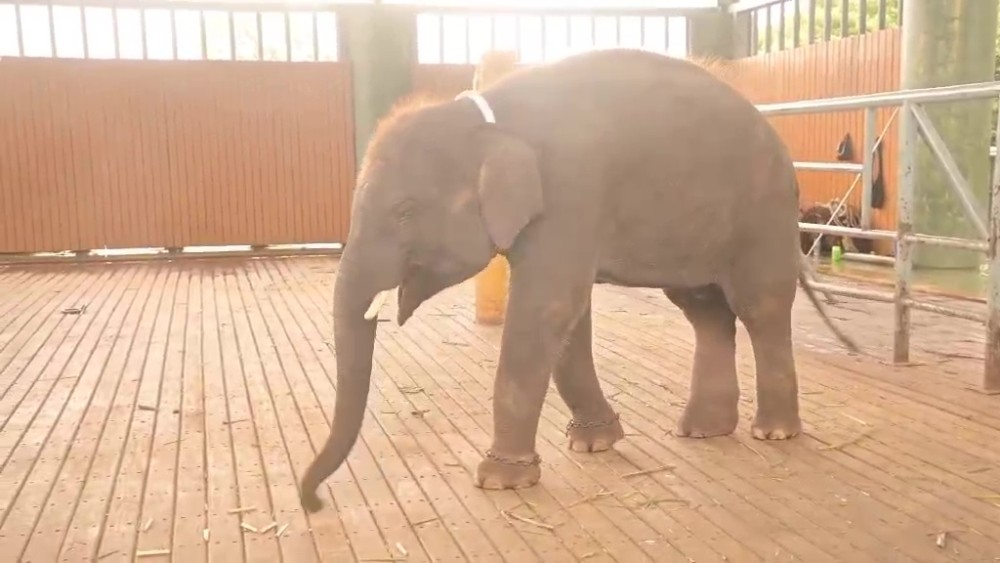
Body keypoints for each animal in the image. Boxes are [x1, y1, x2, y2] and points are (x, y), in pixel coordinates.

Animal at [298, 48, 859, 512]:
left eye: (404, 212)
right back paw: (703, 431)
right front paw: (593, 445)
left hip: (761, 211)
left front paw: (500, 481)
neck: (487, 119)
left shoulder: (571, 191)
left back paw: (774, 434)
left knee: (760, 308)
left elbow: (546, 307)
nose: (313, 502)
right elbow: (568, 316)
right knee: (704, 310)